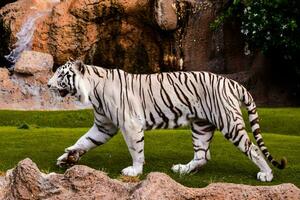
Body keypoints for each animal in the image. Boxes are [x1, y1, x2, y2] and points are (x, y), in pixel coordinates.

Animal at [47, 60, 286, 181]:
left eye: (61, 75)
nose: (48, 85)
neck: (92, 90)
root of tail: (232, 83)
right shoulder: (104, 126)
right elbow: (84, 141)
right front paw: (67, 157)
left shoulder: (130, 124)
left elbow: (136, 150)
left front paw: (135, 171)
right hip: (201, 126)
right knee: (202, 156)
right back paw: (182, 169)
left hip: (228, 122)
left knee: (253, 148)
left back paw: (266, 174)